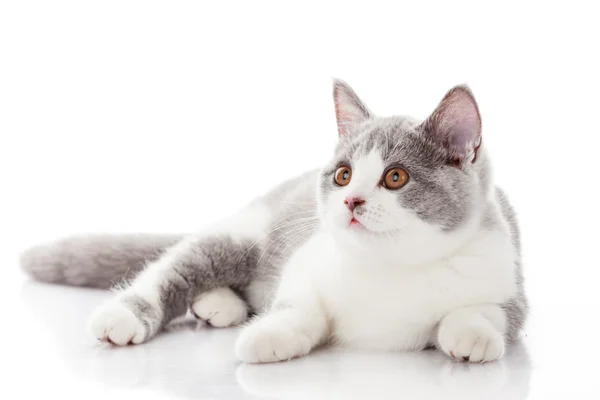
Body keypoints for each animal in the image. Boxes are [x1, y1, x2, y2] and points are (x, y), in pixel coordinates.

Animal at [19, 79, 524, 364]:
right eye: (343, 175)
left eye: (395, 177)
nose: (351, 201)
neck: (390, 267)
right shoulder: (305, 262)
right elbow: (298, 305)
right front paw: (269, 335)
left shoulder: (509, 282)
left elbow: (486, 311)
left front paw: (472, 335)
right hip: (246, 234)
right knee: (172, 268)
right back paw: (130, 314)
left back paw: (218, 304)